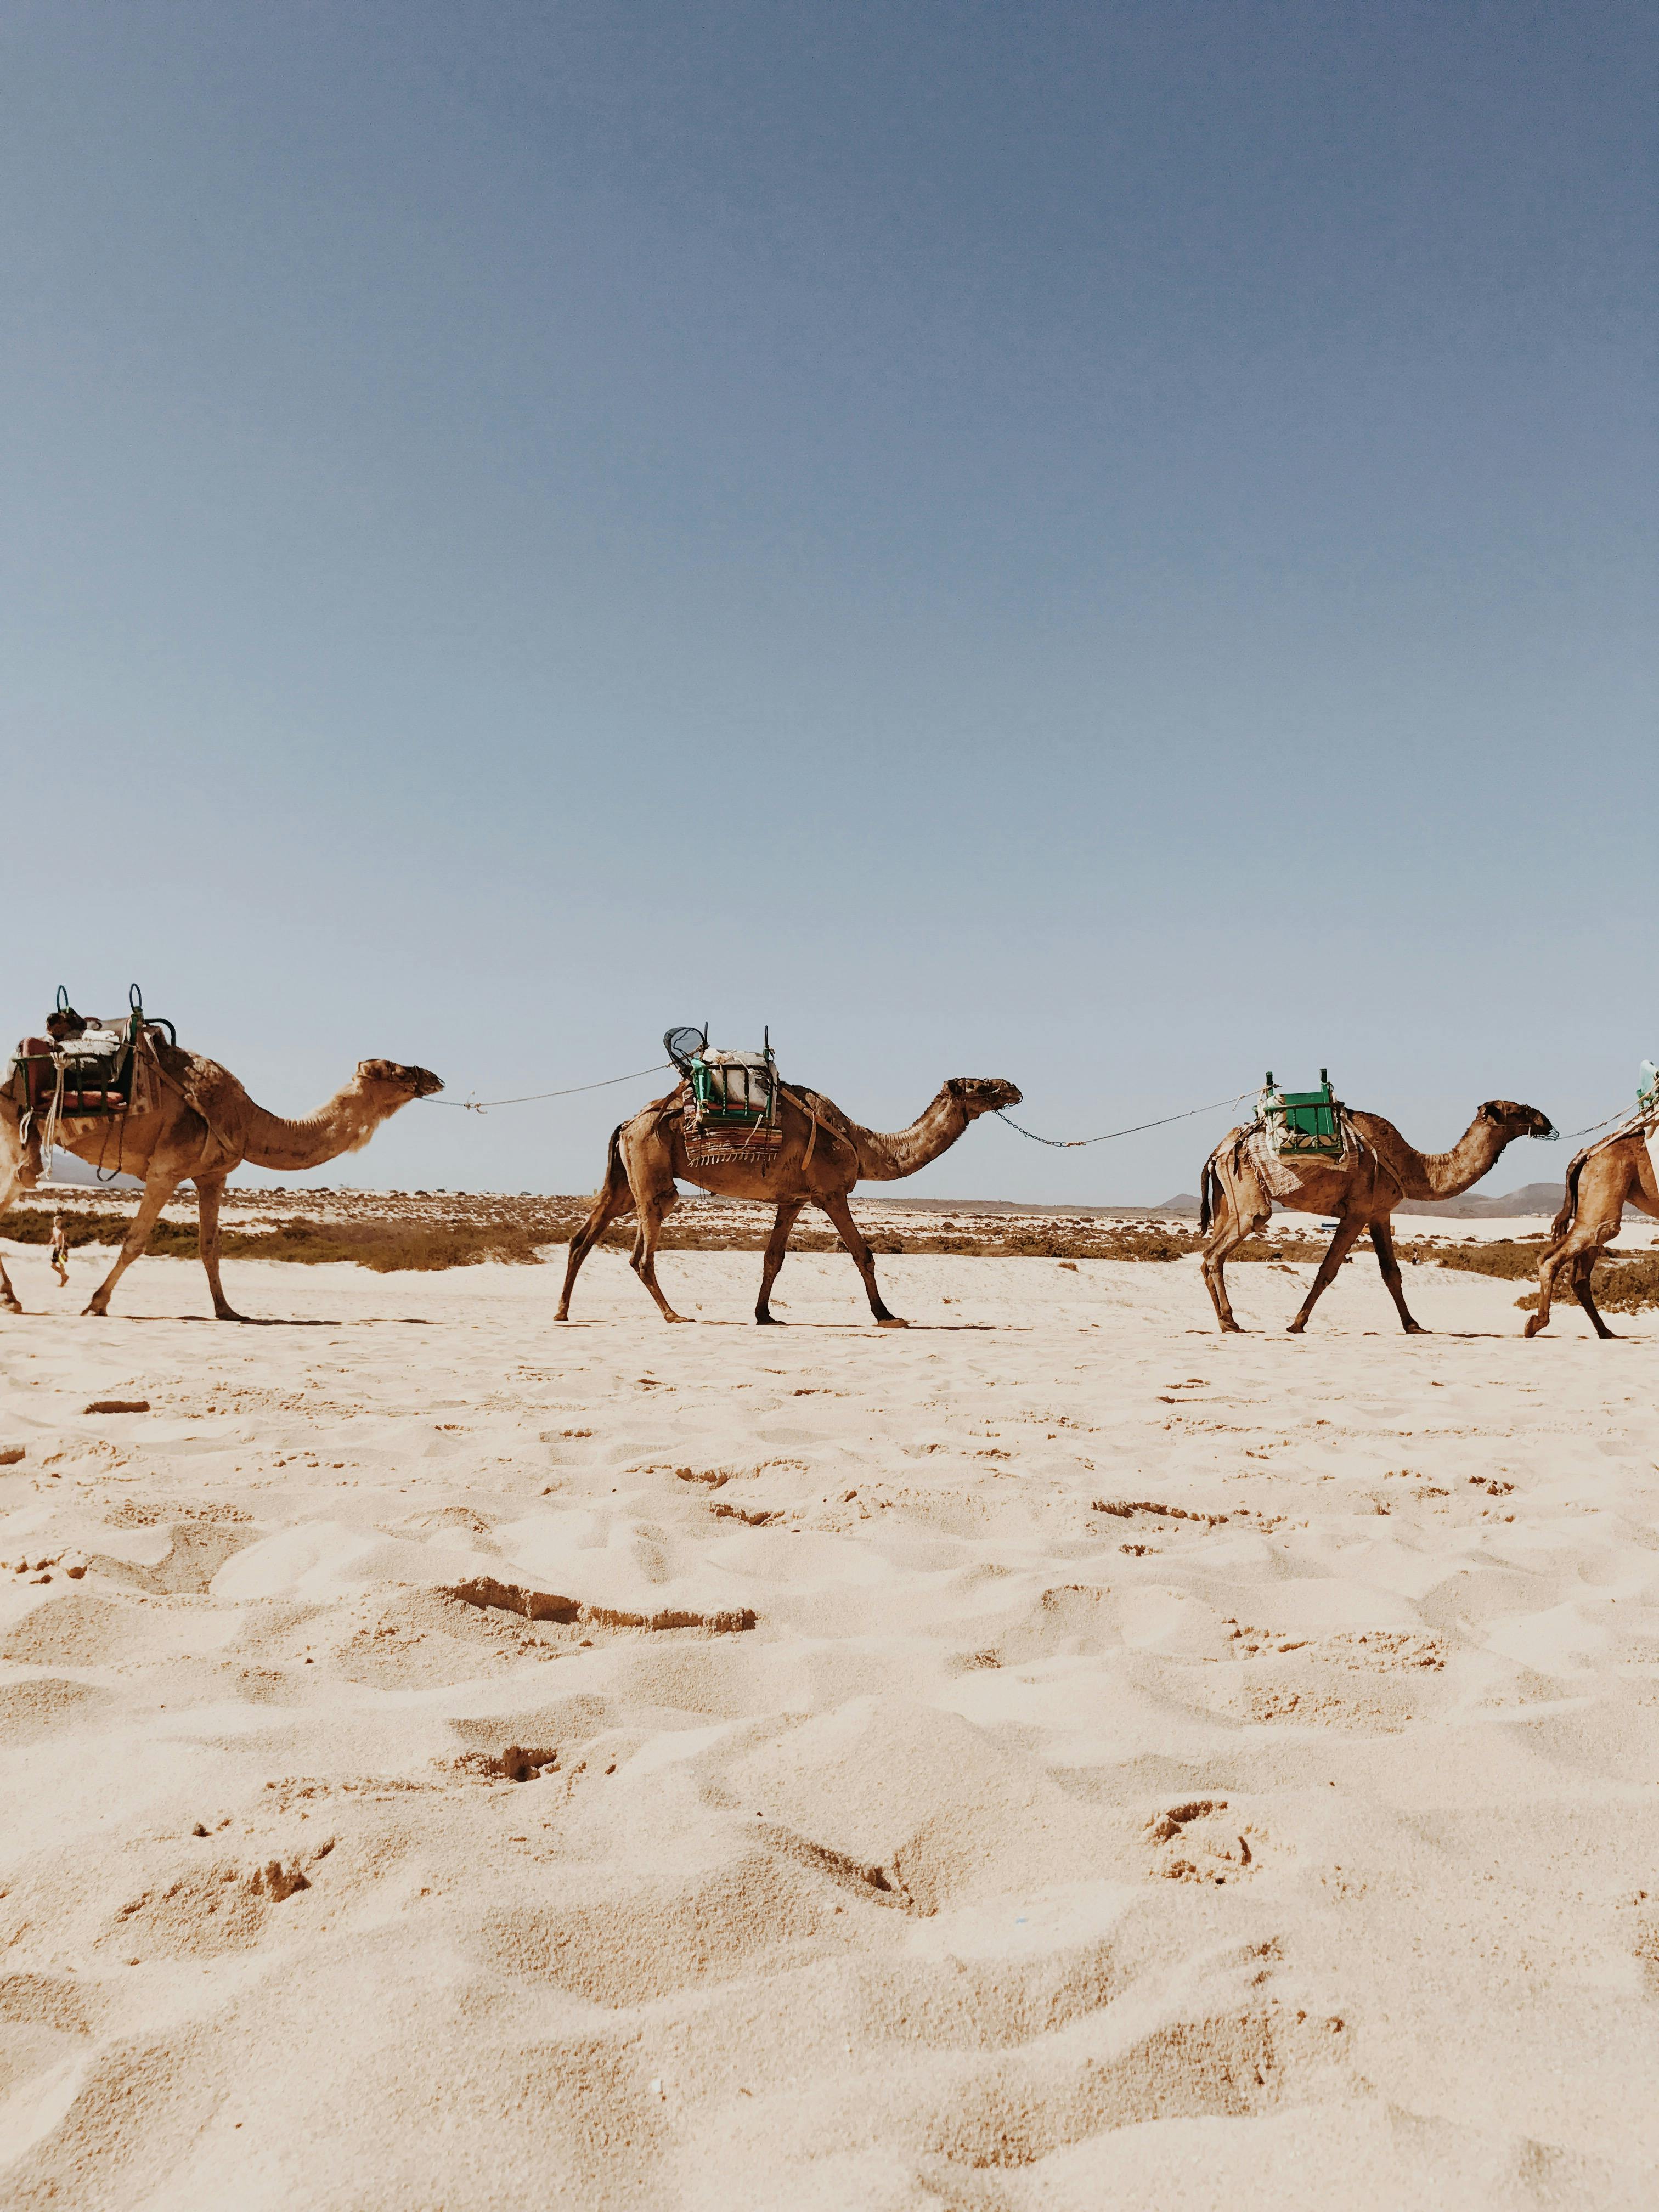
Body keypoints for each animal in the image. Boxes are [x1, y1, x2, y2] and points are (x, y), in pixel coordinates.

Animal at [1, 1034, 441, 1319]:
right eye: (397, 1071)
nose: (434, 1076)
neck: (247, 1120)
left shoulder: (213, 1176)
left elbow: (210, 1246)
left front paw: (228, 1310)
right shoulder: (166, 1171)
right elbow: (135, 1243)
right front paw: (96, 1304)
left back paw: (12, 1298)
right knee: (23, 1179)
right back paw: (13, 1300)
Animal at [558, 1073, 1022, 1325]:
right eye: (980, 1084)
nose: (1014, 1088)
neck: (863, 1144)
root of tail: (628, 1123)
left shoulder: (793, 1199)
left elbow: (773, 1258)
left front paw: (765, 1315)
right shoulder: (830, 1192)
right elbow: (863, 1254)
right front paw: (888, 1316)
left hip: (625, 1180)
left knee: (583, 1237)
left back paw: (562, 1311)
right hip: (652, 1174)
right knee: (642, 1249)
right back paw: (674, 1315)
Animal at [1199, 1098, 1555, 1335]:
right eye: (1518, 1109)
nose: (1546, 1121)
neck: (1415, 1167)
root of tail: (1219, 1149)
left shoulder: (1380, 1212)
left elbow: (1391, 1273)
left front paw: (1414, 1326)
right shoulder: (1357, 1211)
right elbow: (1328, 1270)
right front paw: (1297, 1324)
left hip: (1227, 1197)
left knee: (1207, 1254)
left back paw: (1226, 1320)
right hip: (1248, 1191)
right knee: (1226, 1245)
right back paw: (1229, 1322)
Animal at [1523, 1122, 1659, 1339]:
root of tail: (1587, 1153)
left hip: (1592, 1207)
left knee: (1580, 1278)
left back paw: (1605, 1331)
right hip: (1601, 1207)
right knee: (1551, 1260)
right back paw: (1537, 1323)